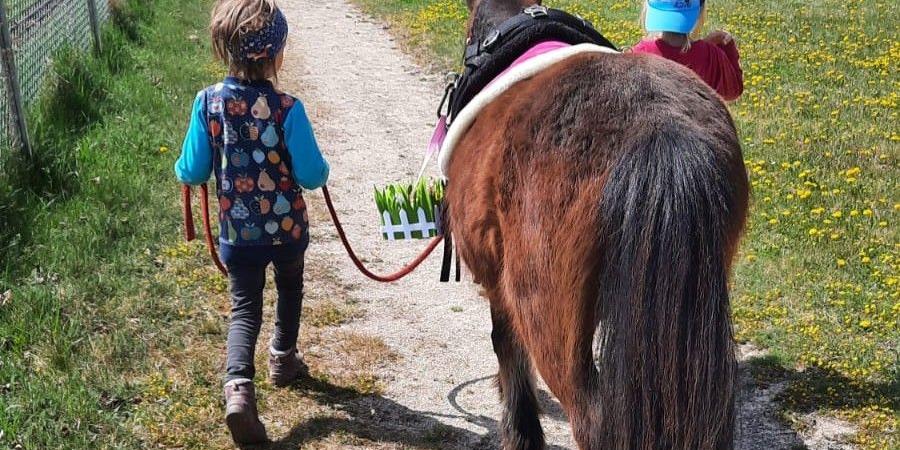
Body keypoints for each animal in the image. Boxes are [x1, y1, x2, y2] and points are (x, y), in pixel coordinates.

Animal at [443, 1, 750, 449]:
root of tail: (658, 130)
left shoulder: (496, 281)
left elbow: (506, 344)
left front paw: (520, 430)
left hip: (548, 314)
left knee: (590, 416)